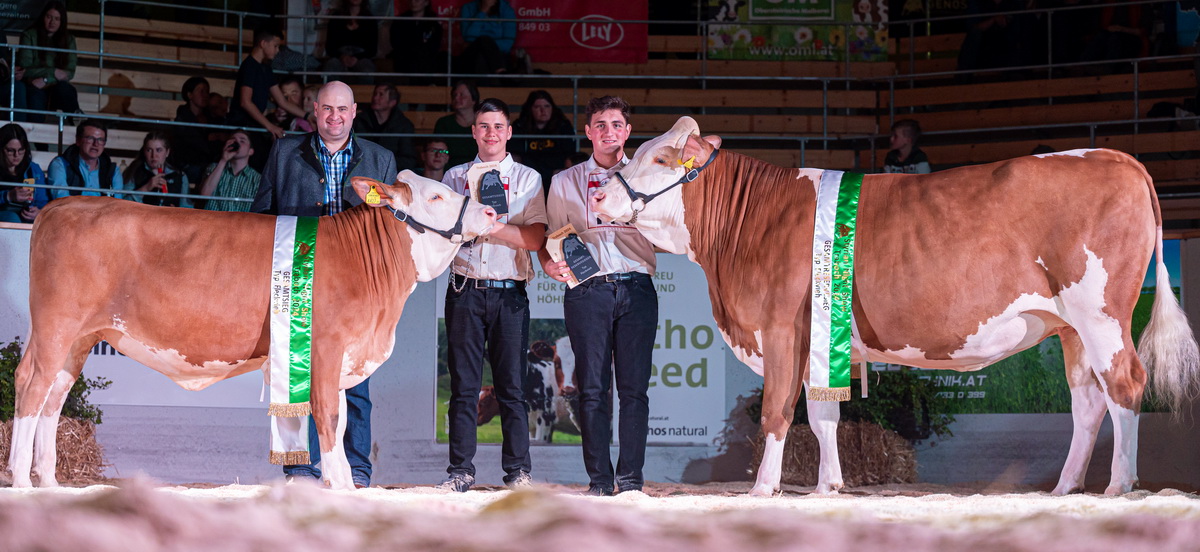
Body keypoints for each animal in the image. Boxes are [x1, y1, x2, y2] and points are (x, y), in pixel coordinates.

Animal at [588, 116, 1200, 496]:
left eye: (660, 158)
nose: (597, 194)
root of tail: (1114, 156)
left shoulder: (779, 327)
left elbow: (778, 412)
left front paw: (763, 487)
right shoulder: (816, 335)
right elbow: (825, 415)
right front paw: (829, 485)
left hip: (1101, 312)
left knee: (1125, 384)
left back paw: (1119, 484)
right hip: (1069, 326)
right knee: (1088, 402)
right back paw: (1067, 485)